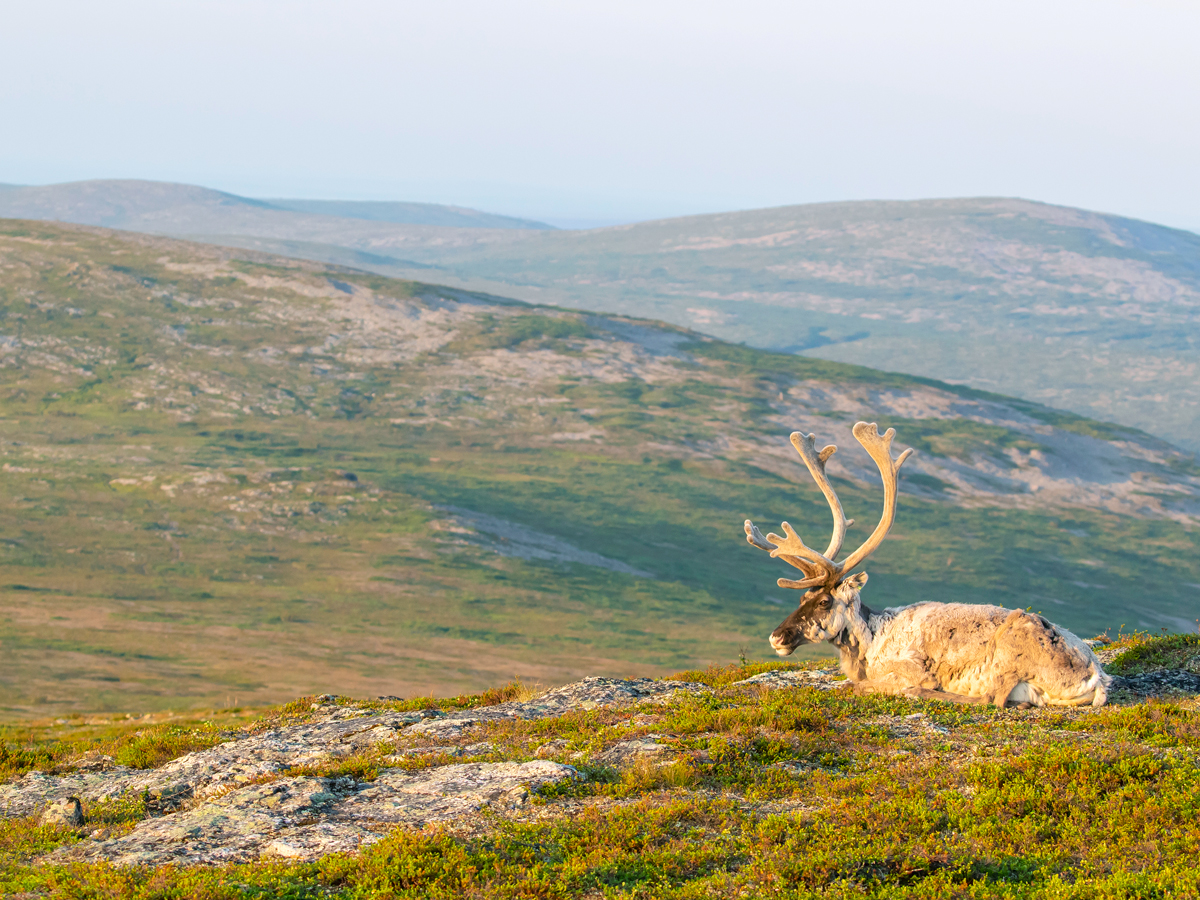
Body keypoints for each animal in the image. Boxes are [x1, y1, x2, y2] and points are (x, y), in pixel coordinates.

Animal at [744, 422, 1111, 708]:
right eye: (801, 598)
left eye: (823, 601)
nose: (776, 637)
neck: (870, 642)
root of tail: (1095, 678)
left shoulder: (906, 666)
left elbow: (858, 685)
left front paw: (905, 687)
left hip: (1010, 651)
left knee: (992, 698)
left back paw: (923, 692)